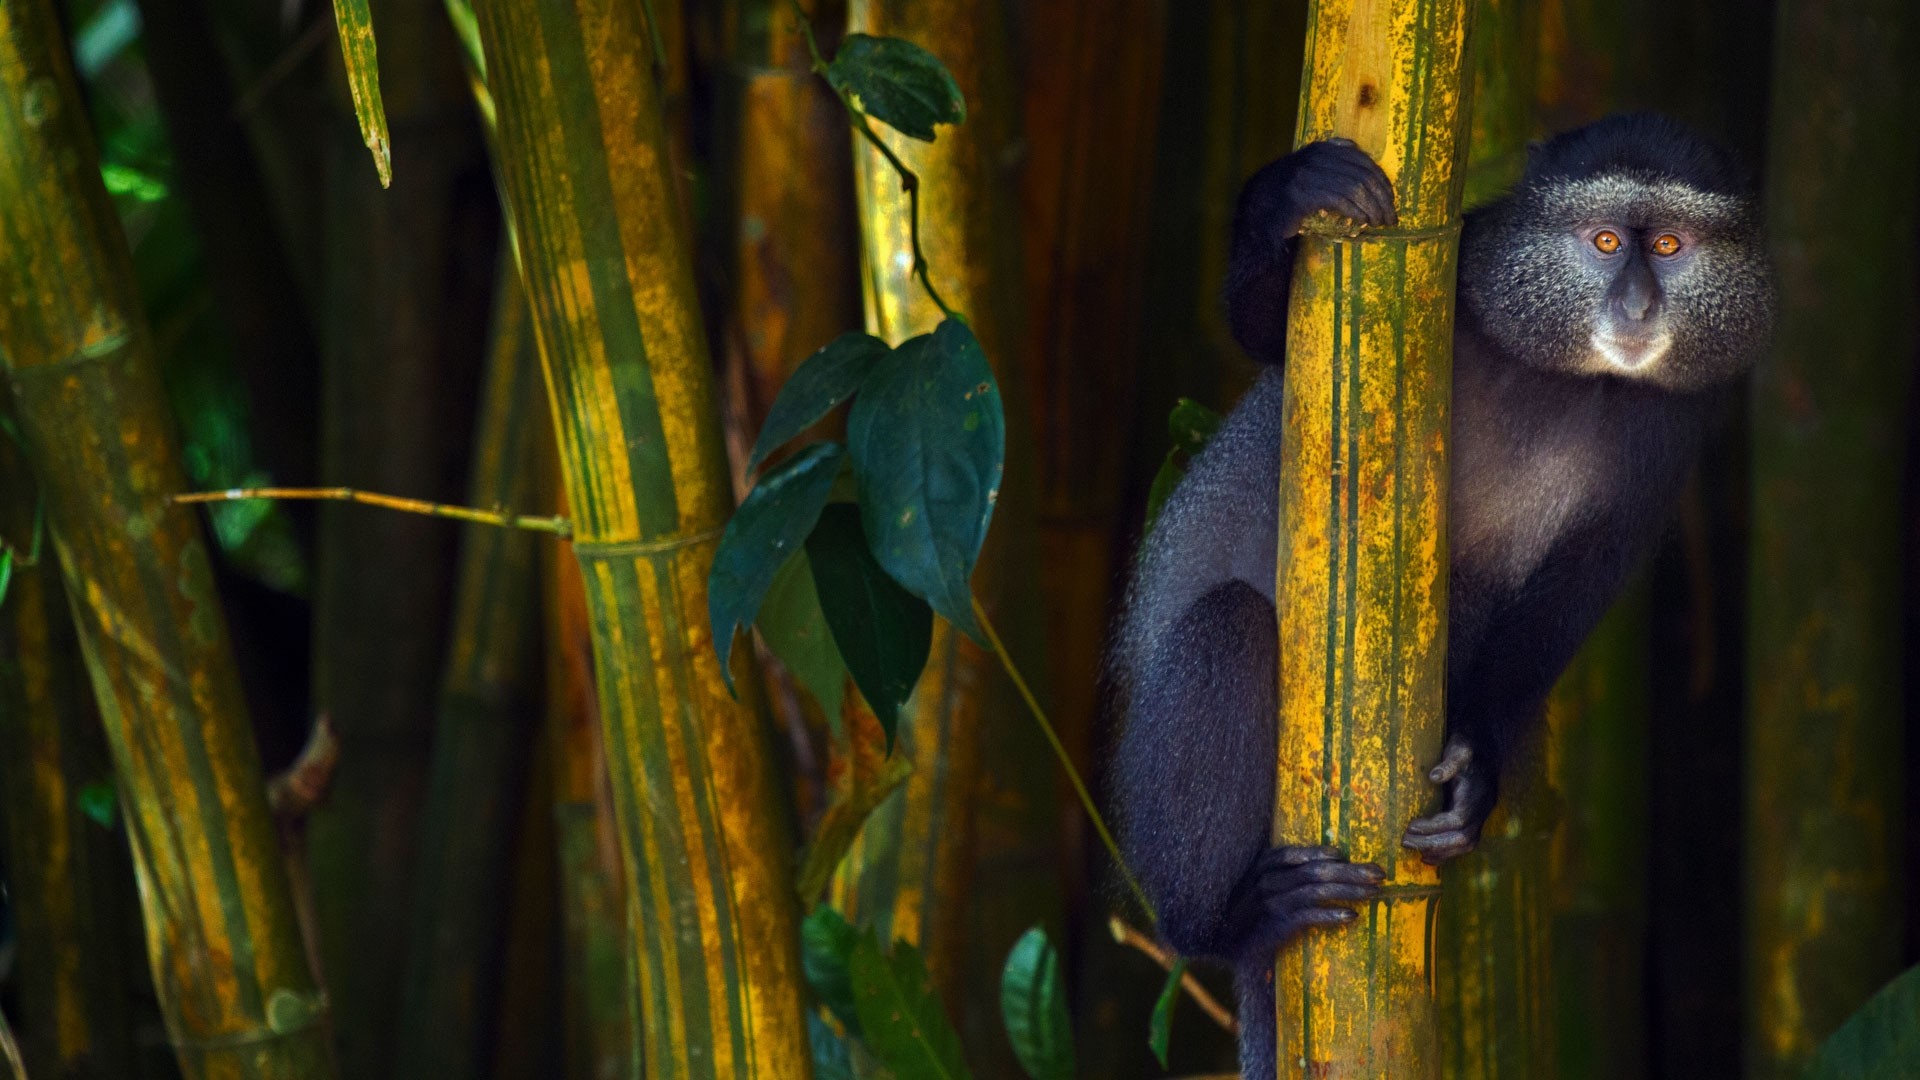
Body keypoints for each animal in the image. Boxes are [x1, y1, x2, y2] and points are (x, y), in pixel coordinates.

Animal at [1108, 113, 1774, 1074]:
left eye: (1672, 247)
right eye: (1606, 243)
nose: (1639, 307)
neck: (1569, 379)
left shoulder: (1672, 434)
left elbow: (1576, 588)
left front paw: (1477, 769)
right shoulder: (1450, 286)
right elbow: (1277, 335)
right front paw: (1288, 198)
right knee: (1226, 629)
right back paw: (1230, 925)